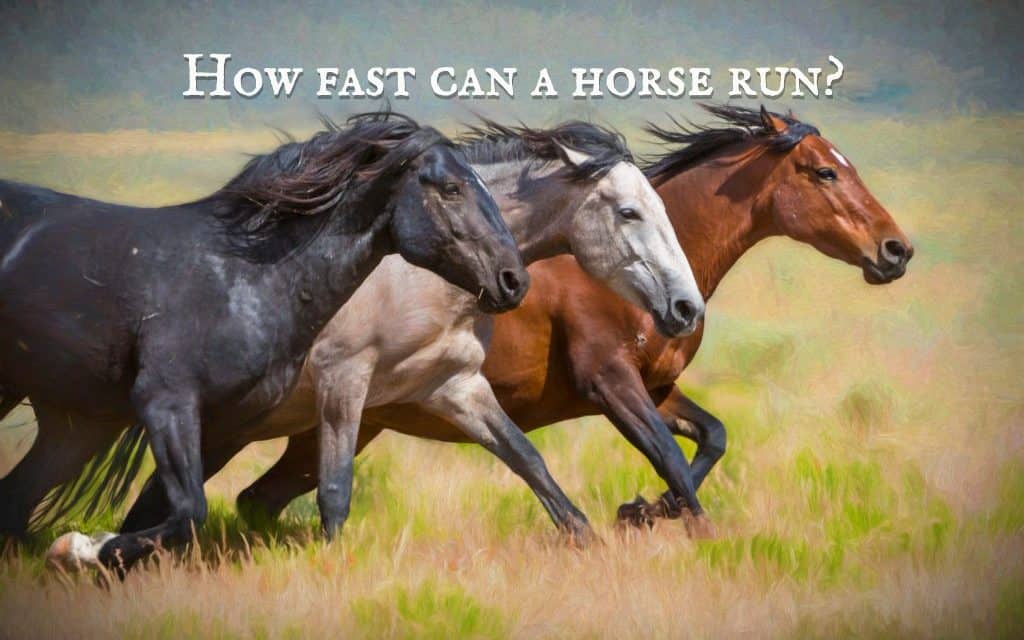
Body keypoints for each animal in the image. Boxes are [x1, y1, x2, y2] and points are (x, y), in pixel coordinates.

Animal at [0, 110, 528, 571]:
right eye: (452, 188)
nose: (514, 281)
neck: (245, 277)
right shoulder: (165, 401)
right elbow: (187, 512)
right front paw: (80, 548)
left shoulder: (226, 424)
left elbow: (164, 514)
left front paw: (88, 553)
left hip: (71, 421)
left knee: (16, 500)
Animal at [99, 119, 704, 548]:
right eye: (629, 212)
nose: (686, 307)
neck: (413, 273)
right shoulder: (344, 381)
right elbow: (336, 493)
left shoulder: (454, 387)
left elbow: (532, 466)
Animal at [234, 105, 913, 532]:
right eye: (824, 171)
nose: (896, 251)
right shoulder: (609, 382)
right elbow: (673, 460)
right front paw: (679, 526)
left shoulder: (653, 387)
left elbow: (712, 438)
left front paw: (643, 511)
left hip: (336, 426)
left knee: (256, 499)